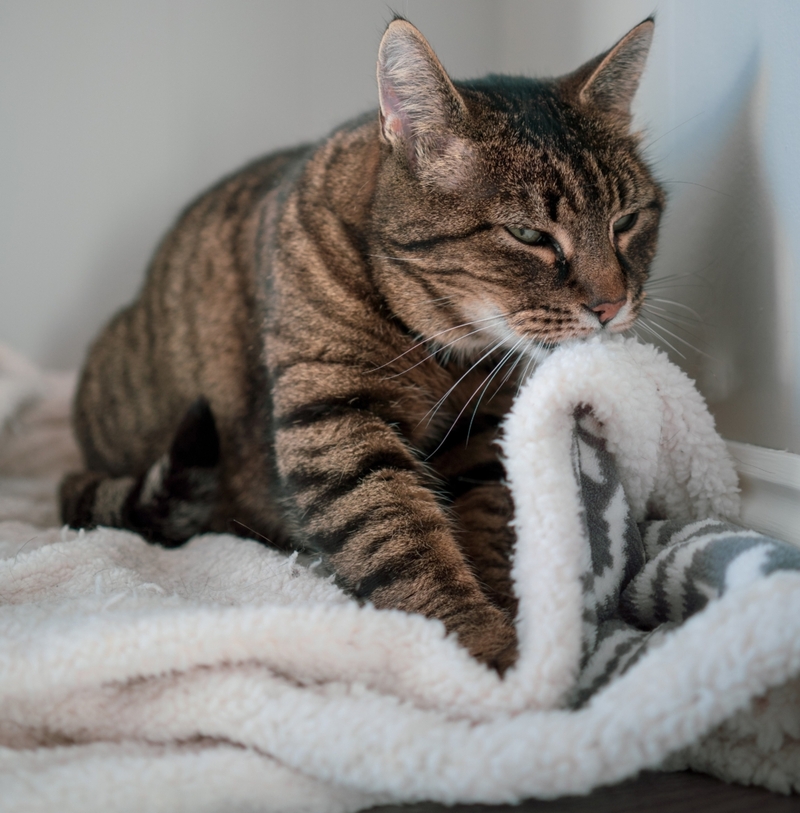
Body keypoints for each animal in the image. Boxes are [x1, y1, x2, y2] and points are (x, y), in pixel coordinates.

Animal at [61, 17, 664, 672]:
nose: (611, 305)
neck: (445, 348)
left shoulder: (481, 434)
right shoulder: (335, 420)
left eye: (627, 221)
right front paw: (487, 644)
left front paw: (518, 611)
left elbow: (485, 518)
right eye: (528, 234)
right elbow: (397, 534)